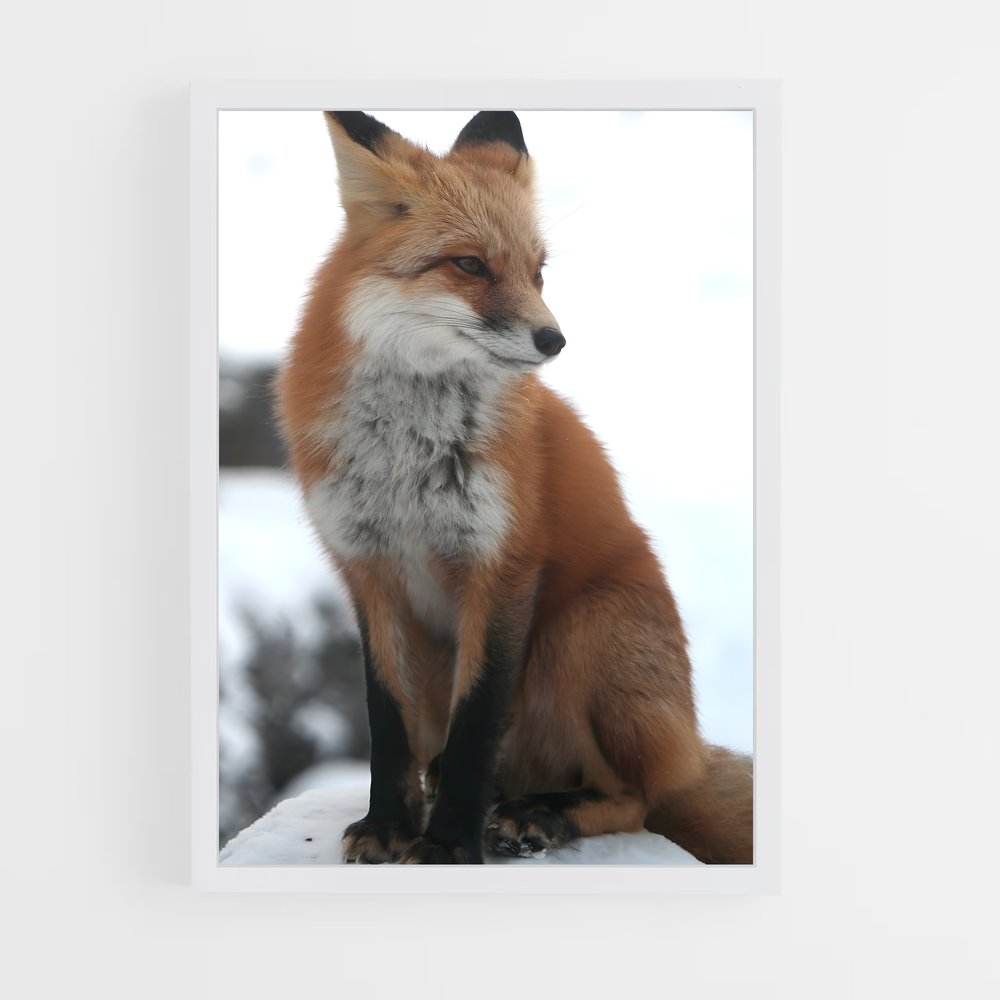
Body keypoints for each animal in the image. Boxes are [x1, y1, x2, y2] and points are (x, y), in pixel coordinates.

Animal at [275, 110, 753, 865]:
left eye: (539, 272)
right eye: (470, 264)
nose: (554, 340)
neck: (408, 459)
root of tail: (688, 751)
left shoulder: (501, 568)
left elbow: (476, 727)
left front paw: (446, 847)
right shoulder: (369, 571)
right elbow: (388, 724)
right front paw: (390, 824)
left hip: (581, 630)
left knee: (635, 798)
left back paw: (541, 814)